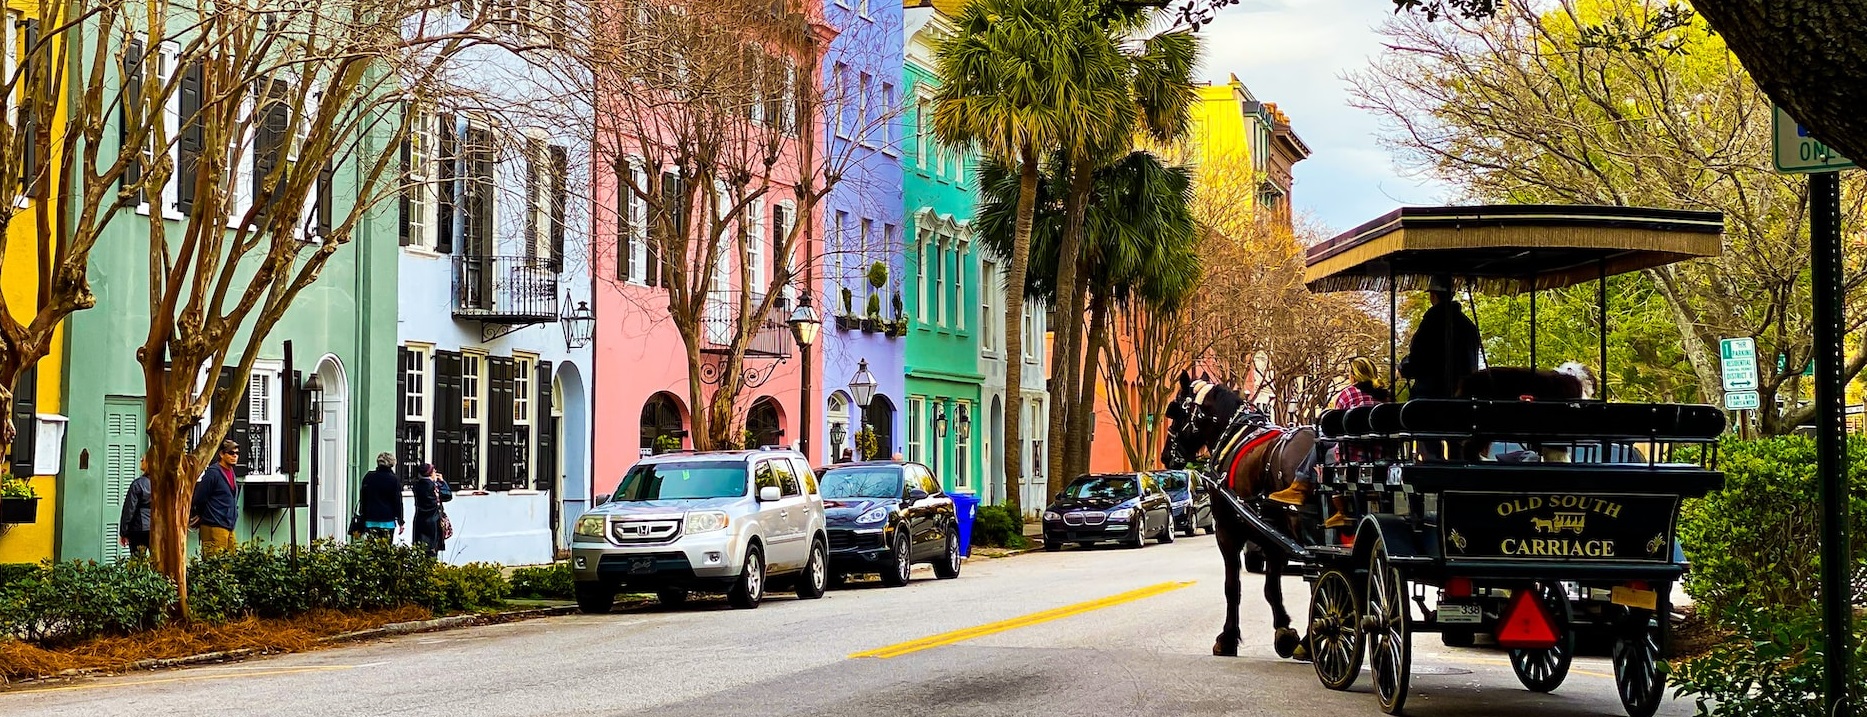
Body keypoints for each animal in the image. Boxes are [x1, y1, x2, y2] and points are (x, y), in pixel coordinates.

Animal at [1157, 375, 1321, 660]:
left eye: (1175, 412)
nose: (1166, 456)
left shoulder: (1227, 531)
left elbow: (1232, 586)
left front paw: (1227, 639)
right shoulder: (1271, 537)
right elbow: (1271, 588)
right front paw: (1284, 633)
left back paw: (1314, 643)